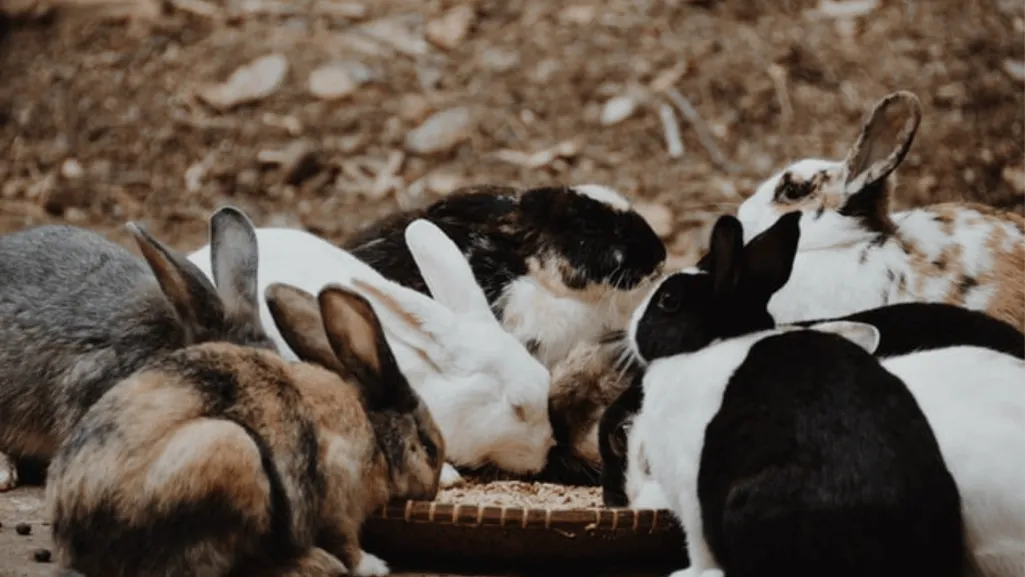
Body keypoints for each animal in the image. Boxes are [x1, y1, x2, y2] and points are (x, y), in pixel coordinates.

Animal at [47, 282, 444, 577]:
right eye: (430, 448)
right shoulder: (339, 499)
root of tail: (75, 537)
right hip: (231, 455)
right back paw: (316, 563)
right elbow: (347, 542)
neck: (375, 434)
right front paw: (373, 566)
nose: (432, 489)